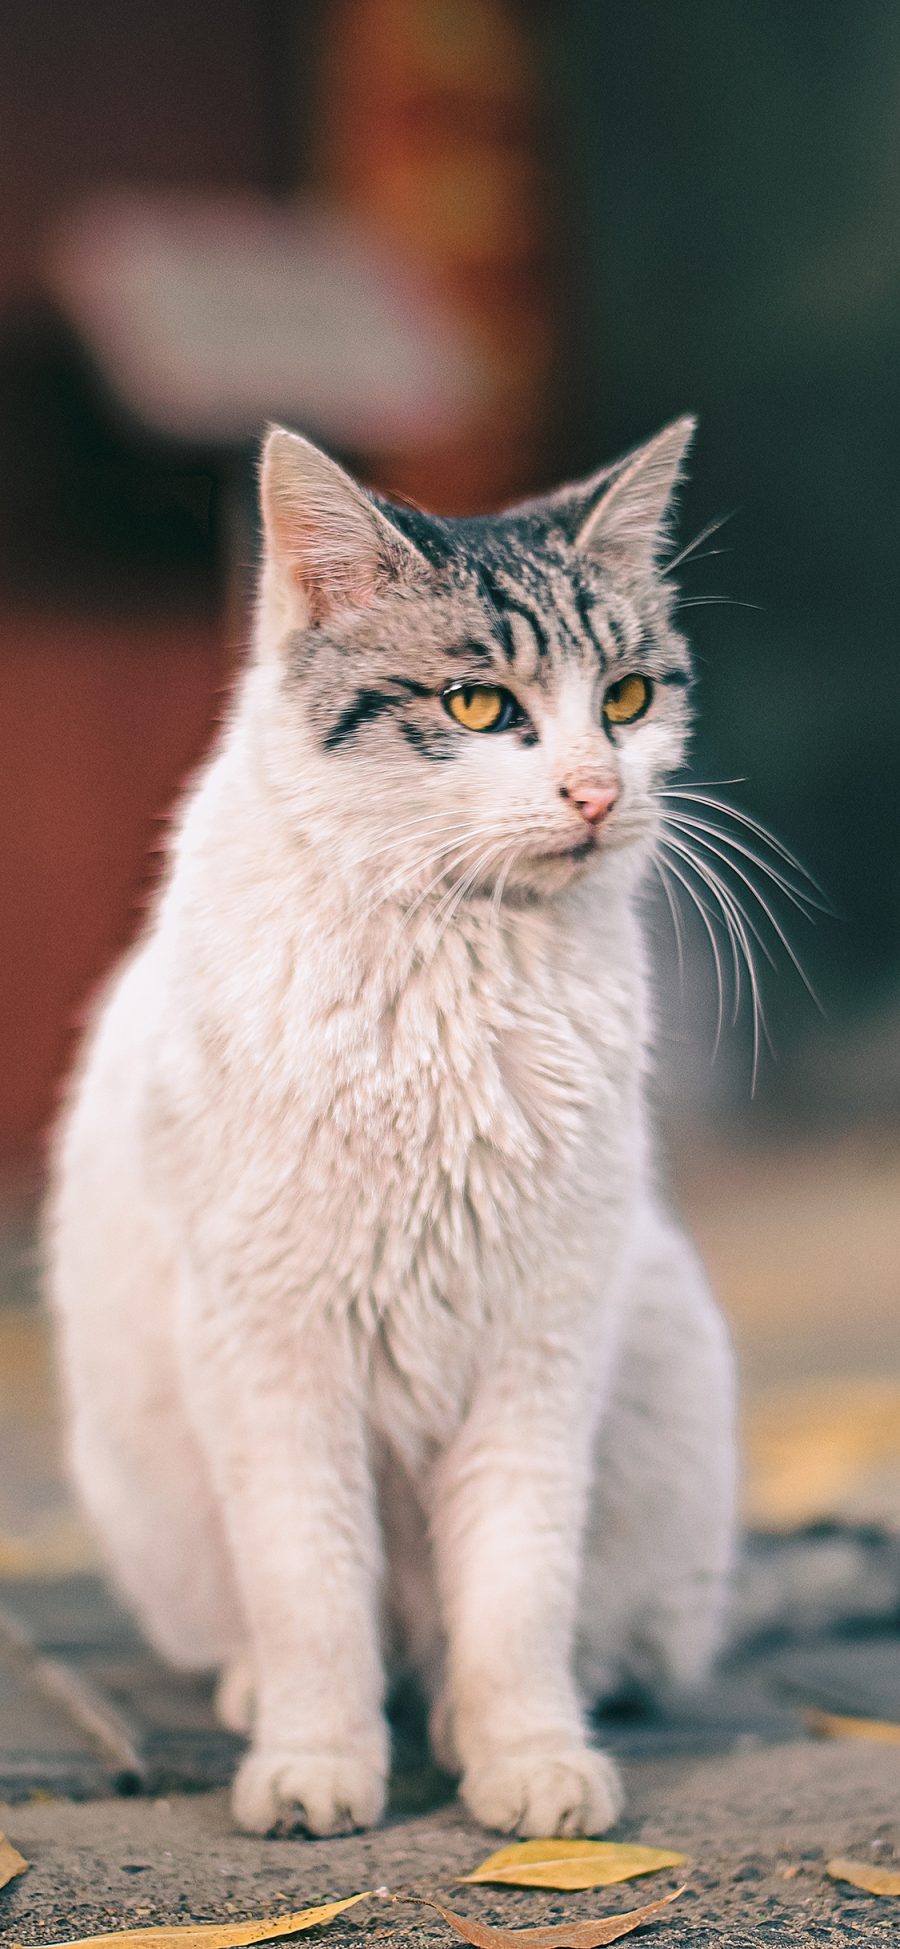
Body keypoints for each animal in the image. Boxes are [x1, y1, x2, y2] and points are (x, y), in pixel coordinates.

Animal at [45, 422, 736, 1839]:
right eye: (479, 707)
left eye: (628, 697)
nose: (598, 791)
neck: (452, 957)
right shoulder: (274, 1349)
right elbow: (310, 1584)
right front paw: (316, 1761)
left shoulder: (539, 1341)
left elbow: (517, 1589)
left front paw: (529, 1756)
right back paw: (273, 1697)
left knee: (576, 1633)